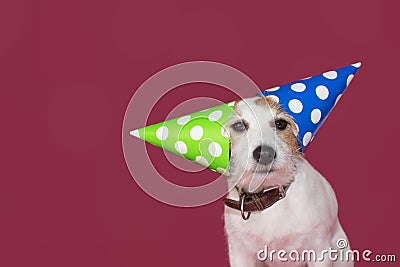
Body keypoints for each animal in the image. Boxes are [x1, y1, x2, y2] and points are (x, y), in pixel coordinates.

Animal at [223, 96, 352, 267]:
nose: (265, 154)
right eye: (239, 125)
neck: (269, 197)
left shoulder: (319, 250)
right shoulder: (240, 252)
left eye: (280, 123)